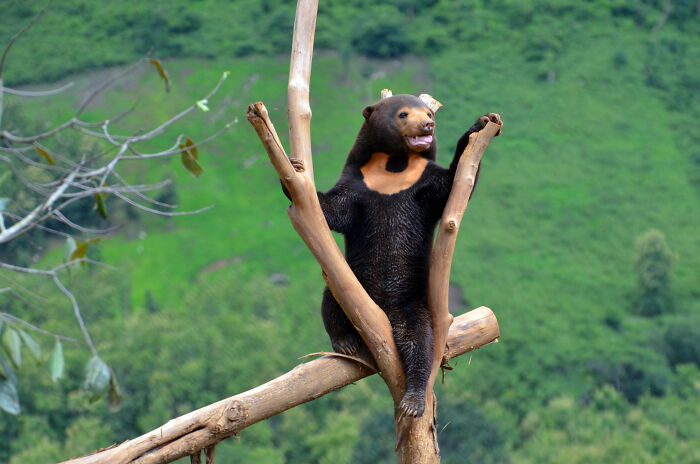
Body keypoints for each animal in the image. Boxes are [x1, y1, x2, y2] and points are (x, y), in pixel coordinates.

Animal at [284, 94, 500, 417]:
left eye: (427, 113)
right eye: (403, 114)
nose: (428, 125)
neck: (394, 167)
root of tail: (385, 312)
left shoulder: (423, 183)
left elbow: (452, 185)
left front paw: (482, 123)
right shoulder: (359, 182)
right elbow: (334, 210)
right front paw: (292, 168)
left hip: (412, 303)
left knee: (419, 344)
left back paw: (413, 400)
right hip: (353, 282)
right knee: (331, 301)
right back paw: (345, 342)